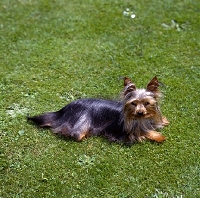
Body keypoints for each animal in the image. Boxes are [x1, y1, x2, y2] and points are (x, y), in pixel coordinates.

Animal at [27, 76, 169, 143]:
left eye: (147, 103)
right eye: (134, 103)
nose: (140, 112)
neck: (139, 119)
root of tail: (65, 109)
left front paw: (163, 121)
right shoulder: (128, 131)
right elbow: (144, 132)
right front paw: (159, 137)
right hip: (81, 123)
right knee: (74, 134)